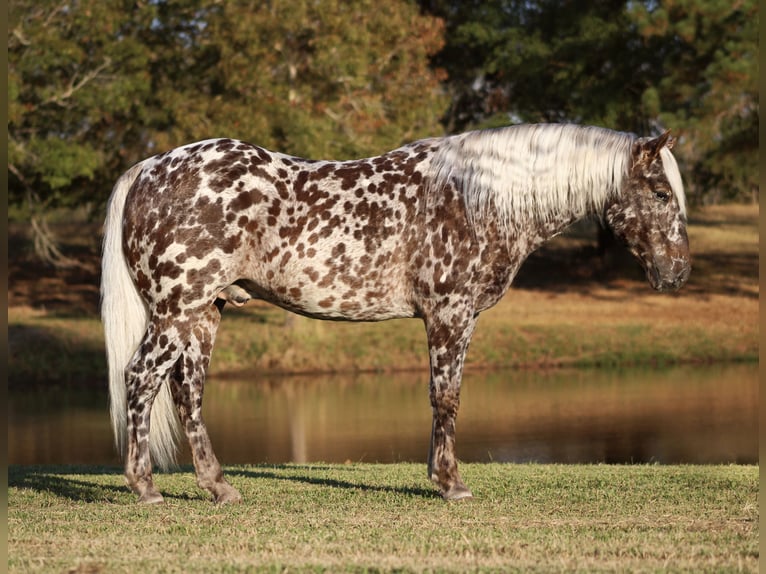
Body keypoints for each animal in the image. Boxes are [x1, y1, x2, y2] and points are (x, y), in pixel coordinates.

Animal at [99, 122, 692, 504]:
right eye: (661, 193)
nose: (679, 273)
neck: (476, 197)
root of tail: (150, 168)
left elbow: (442, 397)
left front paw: (439, 475)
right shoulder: (451, 313)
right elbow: (447, 396)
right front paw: (451, 484)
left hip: (205, 314)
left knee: (188, 395)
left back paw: (219, 488)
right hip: (176, 312)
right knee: (140, 379)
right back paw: (145, 488)